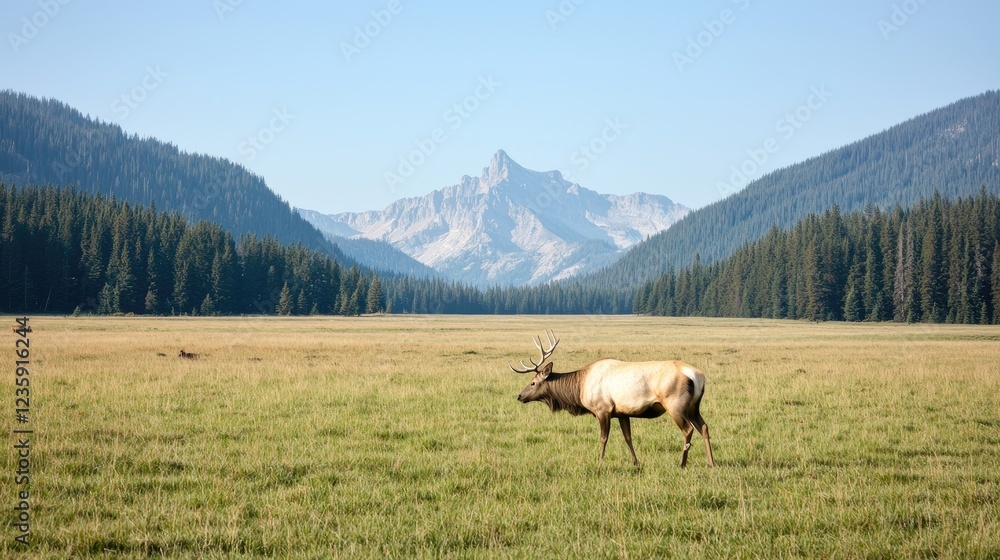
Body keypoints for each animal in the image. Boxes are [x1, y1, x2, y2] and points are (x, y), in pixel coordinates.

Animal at [511, 331, 715, 468]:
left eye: (533, 382)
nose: (519, 396)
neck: (580, 390)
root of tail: (698, 376)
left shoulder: (603, 409)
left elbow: (603, 438)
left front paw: (599, 461)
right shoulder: (622, 412)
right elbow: (628, 438)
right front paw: (635, 462)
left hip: (675, 404)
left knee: (688, 430)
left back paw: (682, 463)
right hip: (693, 407)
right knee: (704, 427)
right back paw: (711, 462)